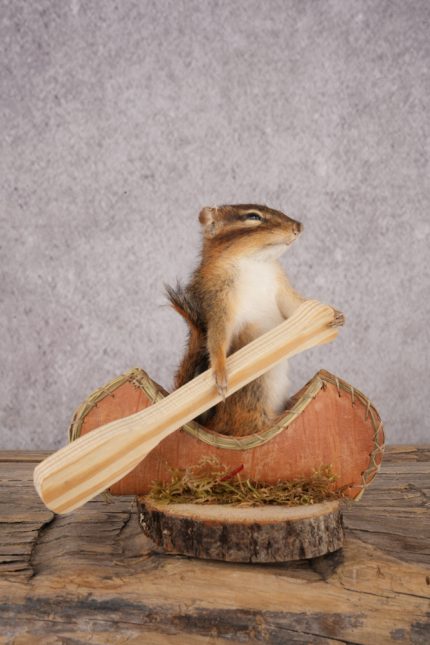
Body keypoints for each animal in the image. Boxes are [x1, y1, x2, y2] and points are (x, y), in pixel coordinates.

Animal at [165, 204, 343, 437]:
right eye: (253, 216)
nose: (299, 226)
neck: (254, 263)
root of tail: (215, 425)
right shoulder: (219, 302)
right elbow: (217, 338)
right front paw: (220, 373)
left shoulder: (281, 288)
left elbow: (296, 306)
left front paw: (335, 314)